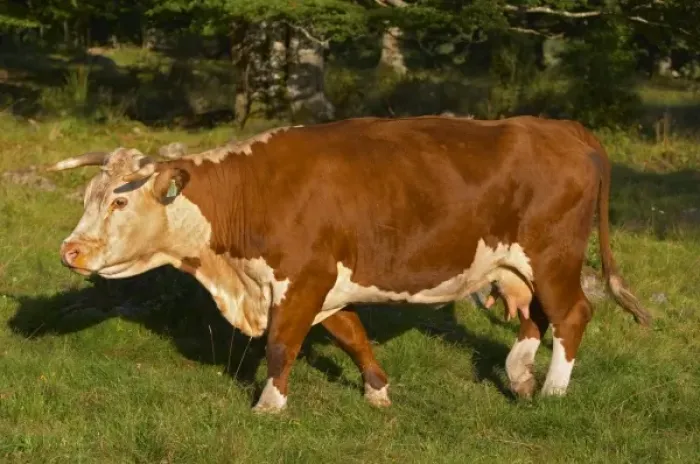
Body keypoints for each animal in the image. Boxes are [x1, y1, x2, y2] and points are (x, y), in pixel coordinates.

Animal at [47, 115, 650, 413]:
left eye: (119, 202)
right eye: (88, 196)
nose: (69, 251)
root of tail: (561, 127)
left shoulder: (303, 278)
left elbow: (281, 344)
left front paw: (269, 404)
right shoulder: (326, 282)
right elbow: (351, 333)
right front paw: (378, 390)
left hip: (553, 255)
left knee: (571, 314)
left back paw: (551, 393)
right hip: (516, 264)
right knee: (535, 315)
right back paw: (520, 374)